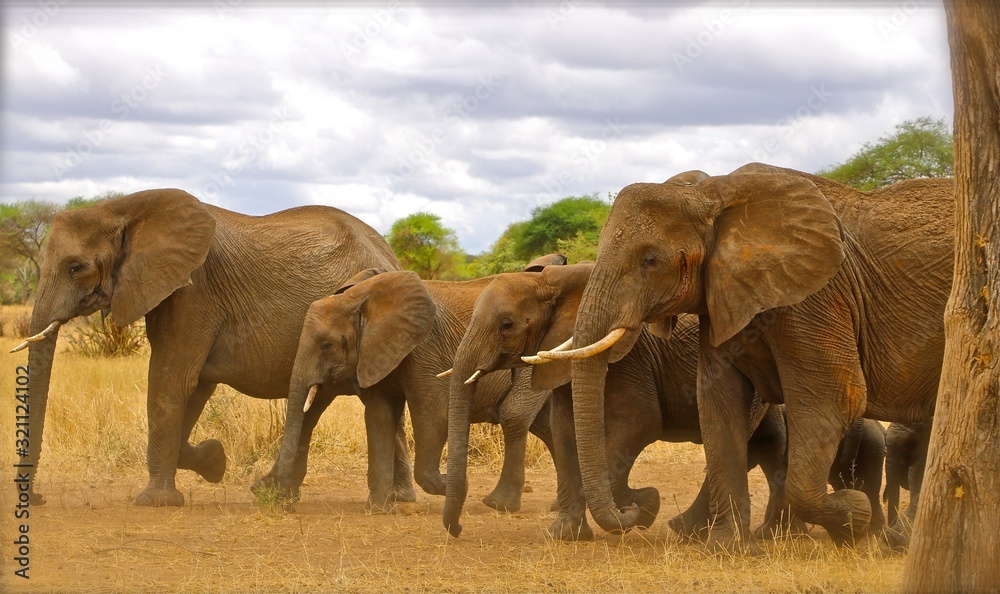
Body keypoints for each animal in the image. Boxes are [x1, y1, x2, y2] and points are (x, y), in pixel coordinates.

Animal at [12, 189, 414, 507]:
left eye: (75, 267)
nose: (38, 498)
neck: (122, 209)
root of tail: (390, 254)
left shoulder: (193, 293)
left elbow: (171, 381)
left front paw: (155, 501)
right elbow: (194, 387)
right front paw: (214, 461)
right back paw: (397, 498)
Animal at [261, 266, 556, 512]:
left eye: (325, 345)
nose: (283, 502)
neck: (362, 299)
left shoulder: (424, 350)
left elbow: (431, 414)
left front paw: (458, 487)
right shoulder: (378, 352)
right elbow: (379, 417)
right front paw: (379, 510)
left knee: (514, 415)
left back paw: (498, 505)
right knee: (546, 425)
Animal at [441, 259, 793, 541]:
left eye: (506, 325)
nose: (457, 529)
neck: (553, 281)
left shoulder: (629, 356)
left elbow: (638, 422)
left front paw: (644, 506)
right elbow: (564, 431)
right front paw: (566, 535)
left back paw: (687, 529)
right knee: (768, 441)